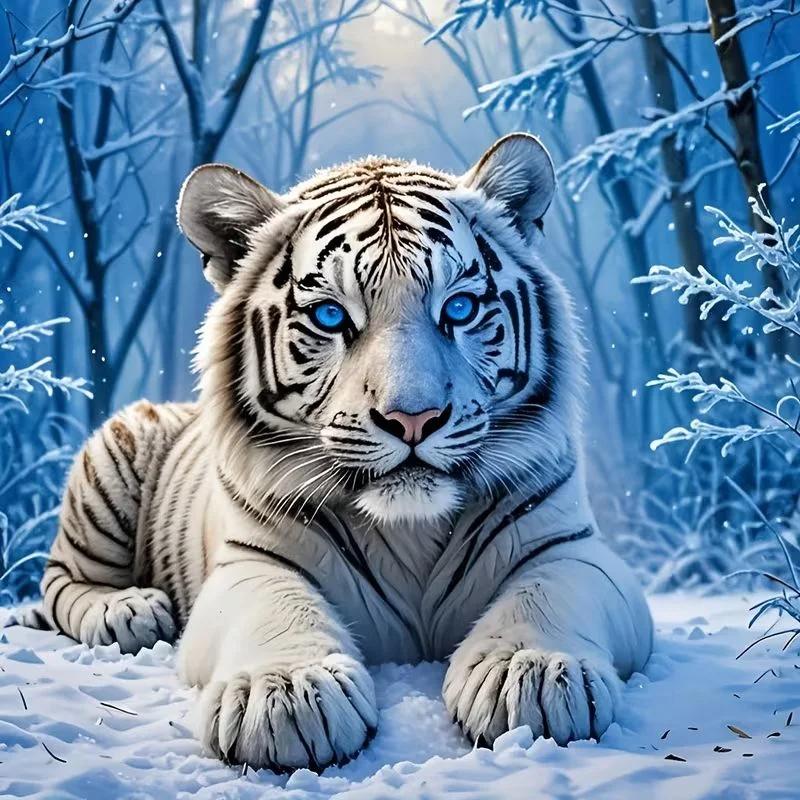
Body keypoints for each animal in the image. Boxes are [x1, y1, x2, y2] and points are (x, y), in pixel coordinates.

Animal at [25, 133, 653, 772]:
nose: (413, 418)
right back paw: (128, 611)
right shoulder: (252, 561)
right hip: (114, 456)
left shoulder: (570, 547)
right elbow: (275, 607)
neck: (411, 529)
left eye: (459, 309)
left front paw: (529, 673)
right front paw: (285, 695)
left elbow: (547, 596)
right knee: (61, 583)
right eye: (331, 315)